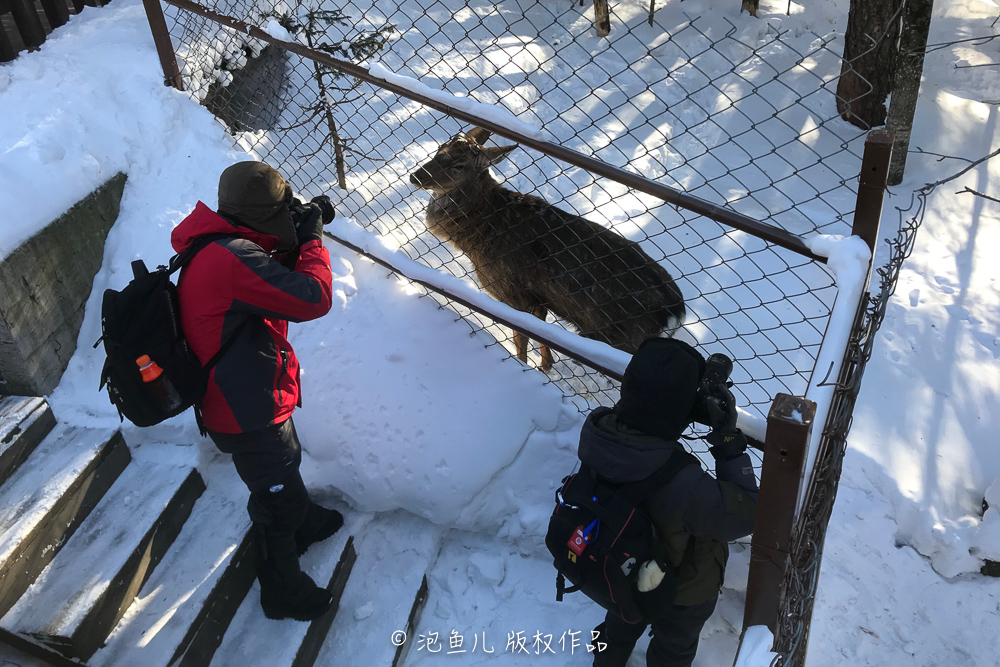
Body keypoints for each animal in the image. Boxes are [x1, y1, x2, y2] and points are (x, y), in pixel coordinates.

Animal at [408, 128, 688, 374]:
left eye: (459, 165)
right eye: (440, 149)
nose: (416, 176)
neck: (478, 237)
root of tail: (676, 312)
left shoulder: (512, 292)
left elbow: (520, 338)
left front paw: (523, 367)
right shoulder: (539, 298)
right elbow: (542, 333)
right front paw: (546, 366)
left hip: (628, 340)